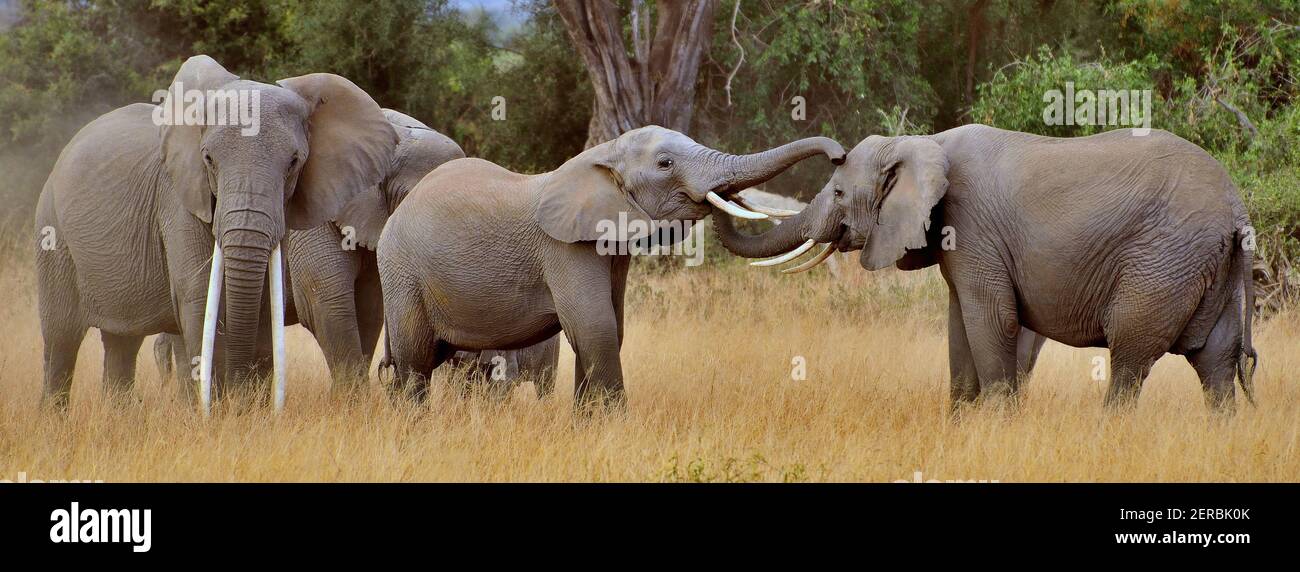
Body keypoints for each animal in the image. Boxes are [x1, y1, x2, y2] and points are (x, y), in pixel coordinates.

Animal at [38, 54, 397, 410]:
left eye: (294, 162)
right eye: (208, 158)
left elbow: (264, 302)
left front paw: (248, 412)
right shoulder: (178, 198)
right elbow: (199, 296)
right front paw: (216, 414)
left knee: (121, 341)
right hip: (52, 228)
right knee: (61, 335)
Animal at [377, 126, 847, 405]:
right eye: (665, 164)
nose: (839, 156)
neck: (600, 158)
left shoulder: (613, 248)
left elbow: (610, 330)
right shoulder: (563, 249)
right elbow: (595, 328)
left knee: (419, 360)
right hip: (402, 271)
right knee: (414, 358)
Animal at [717, 124, 1253, 410]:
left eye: (840, 192)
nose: (725, 193)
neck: (923, 142)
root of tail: (1236, 207)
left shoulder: (973, 227)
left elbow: (993, 321)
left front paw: (999, 428)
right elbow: (960, 330)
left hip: (1164, 262)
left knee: (1130, 355)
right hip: (1208, 267)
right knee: (1216, 363)